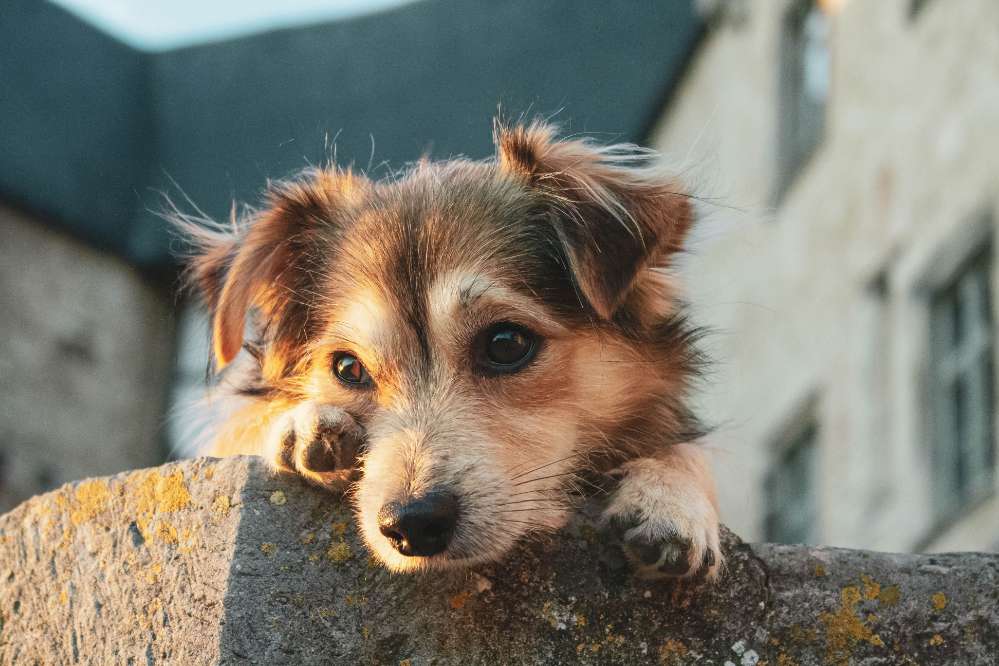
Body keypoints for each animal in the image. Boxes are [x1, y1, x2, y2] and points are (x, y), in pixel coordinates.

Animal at [180, 122, 724, 580]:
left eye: (506, 344)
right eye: (348, 368)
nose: (412, 525)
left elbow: (683, 449)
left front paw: (670, 499)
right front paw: (305, 425)